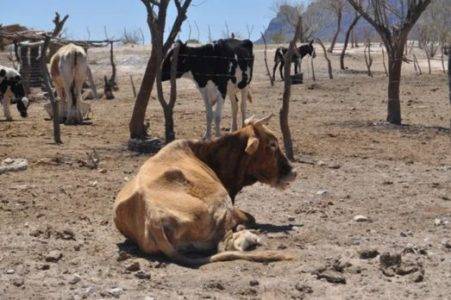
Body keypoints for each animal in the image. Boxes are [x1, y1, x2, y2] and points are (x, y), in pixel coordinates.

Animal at [113, 115, 298, 268]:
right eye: (272, 145)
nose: (293, 171)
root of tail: (154, 218)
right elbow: (250, 217)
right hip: (221, 201)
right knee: (226, 245)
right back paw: (249, 236)